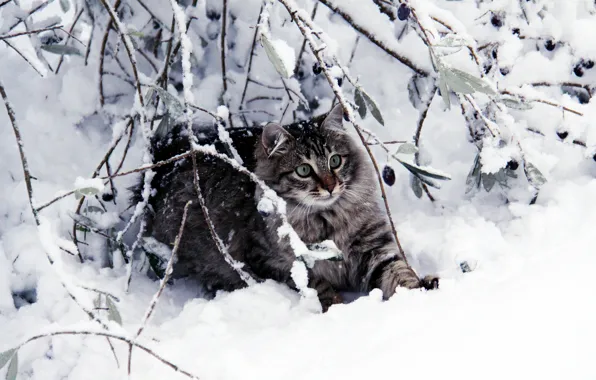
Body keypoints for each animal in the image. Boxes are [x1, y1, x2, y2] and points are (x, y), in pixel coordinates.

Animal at [140, 104, 438, 312]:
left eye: (335, 160)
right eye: (304, 170)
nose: (331, 186)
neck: (328, 220)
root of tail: (166, 153)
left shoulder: (374, 249)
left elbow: (400, 274)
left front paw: (421, 291)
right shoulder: (278, 263)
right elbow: (319, 288)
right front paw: (339, 309)